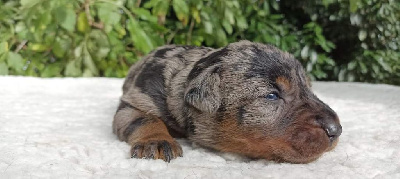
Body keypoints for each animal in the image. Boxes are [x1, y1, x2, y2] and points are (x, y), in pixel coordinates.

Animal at [111, 40, 340, 164]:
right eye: (272, 96)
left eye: (309, 88)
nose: (336, 130)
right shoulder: (136, 99)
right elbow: (145, 119)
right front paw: (157, 141)